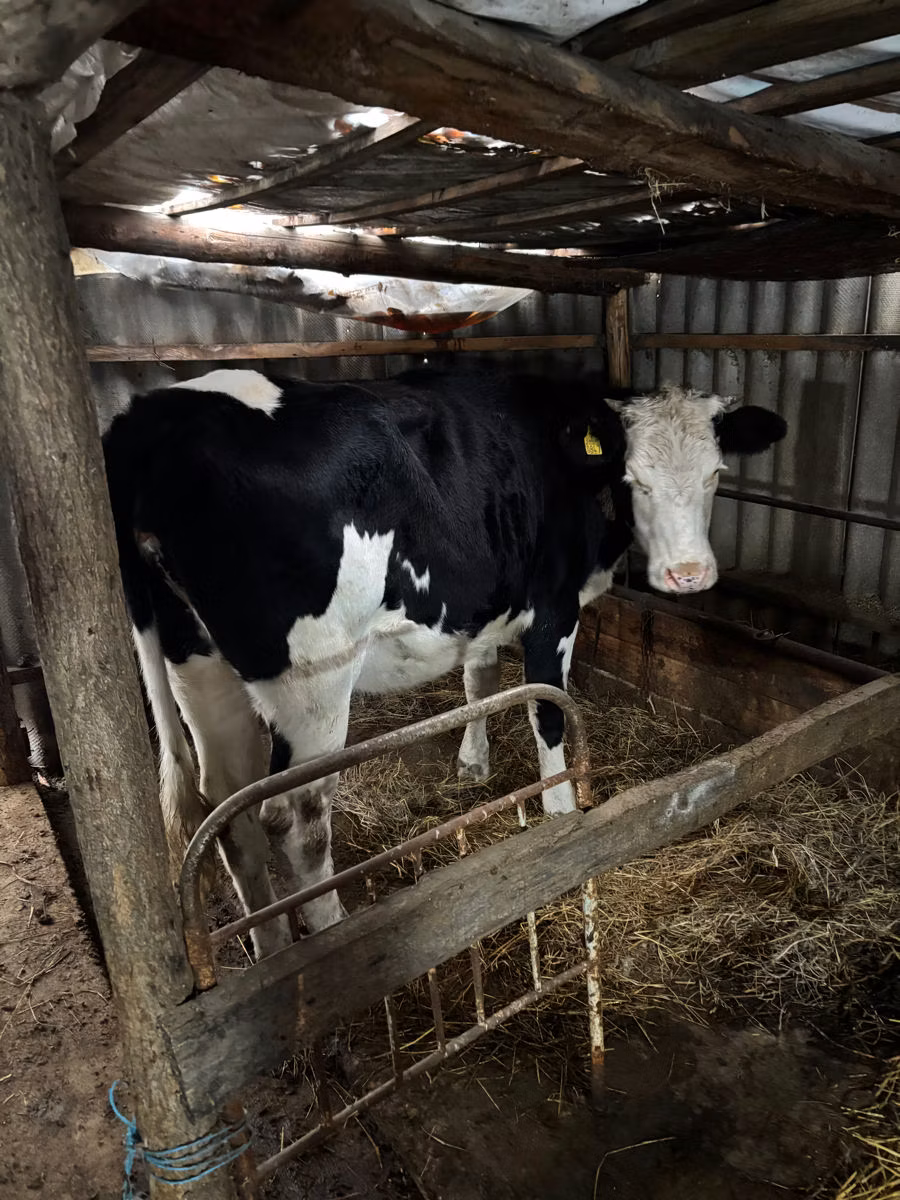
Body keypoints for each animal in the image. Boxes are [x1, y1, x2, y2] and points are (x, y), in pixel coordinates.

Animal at [102, 366, 785, 956]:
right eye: (632, 477)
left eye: (716, 474)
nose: (688, 575)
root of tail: (151, 416)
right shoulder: (553, 609)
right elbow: (547, 711)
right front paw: (562, 812)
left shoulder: (484, 603)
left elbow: (480, 683)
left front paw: (473, 765)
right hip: (314, 682)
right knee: (296, 818)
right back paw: (331, 937)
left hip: (200, 666)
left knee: (227, 810)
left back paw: (269, 946)